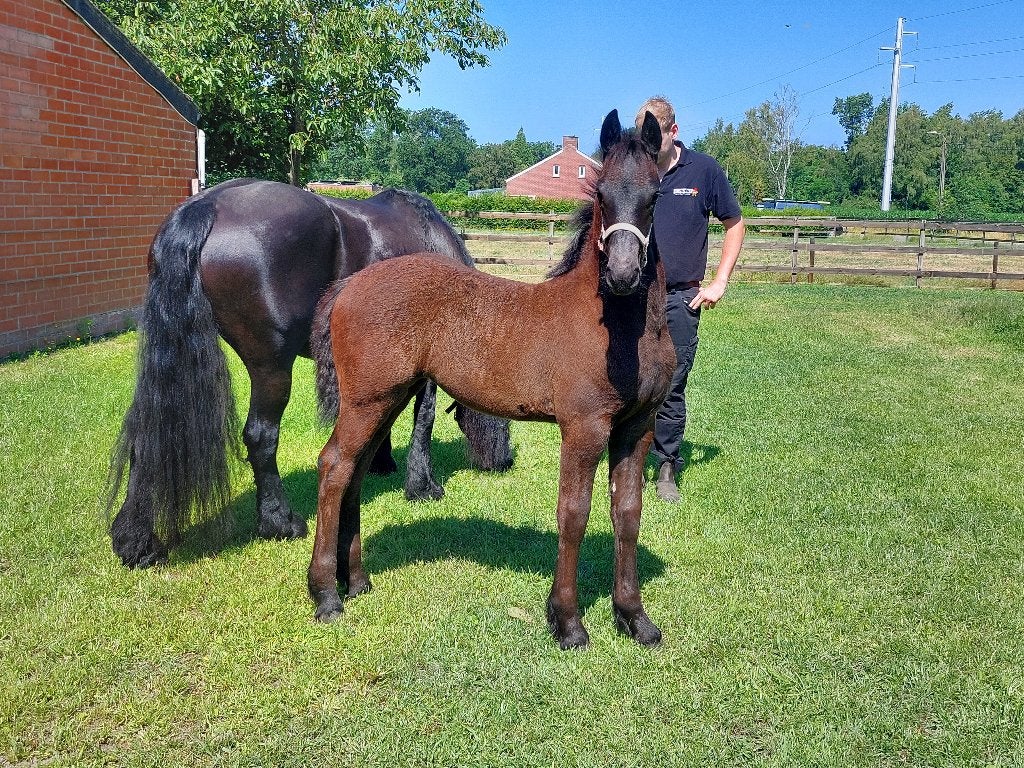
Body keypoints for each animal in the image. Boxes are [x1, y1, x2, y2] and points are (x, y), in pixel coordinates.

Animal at [106, 181, 513, 569]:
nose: (506, 462)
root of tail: (207, 205)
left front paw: (380, 463)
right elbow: (423, 419)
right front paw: (423, 485)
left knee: (149, 433)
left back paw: (135, 543)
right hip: (271, 367)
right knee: (261, 436)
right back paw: (279, 521)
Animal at [308, 109, 673, 649]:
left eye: (653, 197)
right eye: (602, 195)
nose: (623, 275)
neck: (620, 329)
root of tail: (351, 283)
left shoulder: (636, 427)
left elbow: (627, 513)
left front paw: (634, 617)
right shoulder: (584, 428)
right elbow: (574, 513)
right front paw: (567, 621)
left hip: (386, 399)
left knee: (354, 470)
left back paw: (355, 581)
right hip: (366, 400)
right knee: (334, 466)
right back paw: (325, 595)